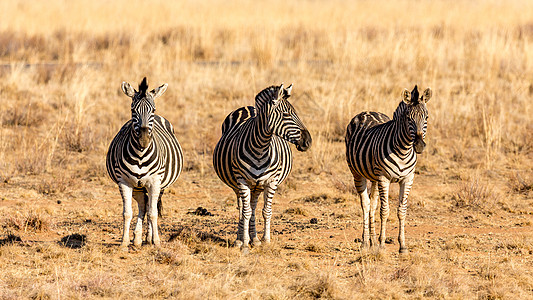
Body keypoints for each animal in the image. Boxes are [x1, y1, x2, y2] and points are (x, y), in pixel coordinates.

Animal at [106, 77, 183, 248]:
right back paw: (138, 239)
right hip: (138, 186)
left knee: (150, 207)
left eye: (152, 110)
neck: (140, 154)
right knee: (143, 205)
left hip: (160, 185)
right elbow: (127, 213)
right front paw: (124, 242)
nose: (143, 140)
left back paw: (148, 237)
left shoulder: (155, 182)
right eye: (133, 110)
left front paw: (156, 241)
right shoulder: (125, 182)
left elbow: (153, 213)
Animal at [213, 82, 312, 251]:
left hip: (257, 186)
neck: (260, 147)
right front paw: (244, 243)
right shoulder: (242, 181)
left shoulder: (271, 181)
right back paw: (240, 239)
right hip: (238, 185)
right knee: (242, 208)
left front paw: (265, 240)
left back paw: (255, 238)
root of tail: (247, 107)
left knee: (253, 207)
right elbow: (245, 212)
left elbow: (266, 211)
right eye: (286, 114)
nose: (308, 141)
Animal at [344, 85, 432, 253]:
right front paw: (382, 244)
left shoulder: (407, 179)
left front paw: (402, 246)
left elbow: (402, 211)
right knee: (365, 204)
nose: (419, 146)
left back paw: (372, 241)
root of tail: (366, 111)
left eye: (426, 117)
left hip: (374, 177)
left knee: (372, 204)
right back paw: (365, 242)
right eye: (408, 118)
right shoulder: (384, 179)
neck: (404, 150)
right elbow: (384, 211)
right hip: (357, 173)